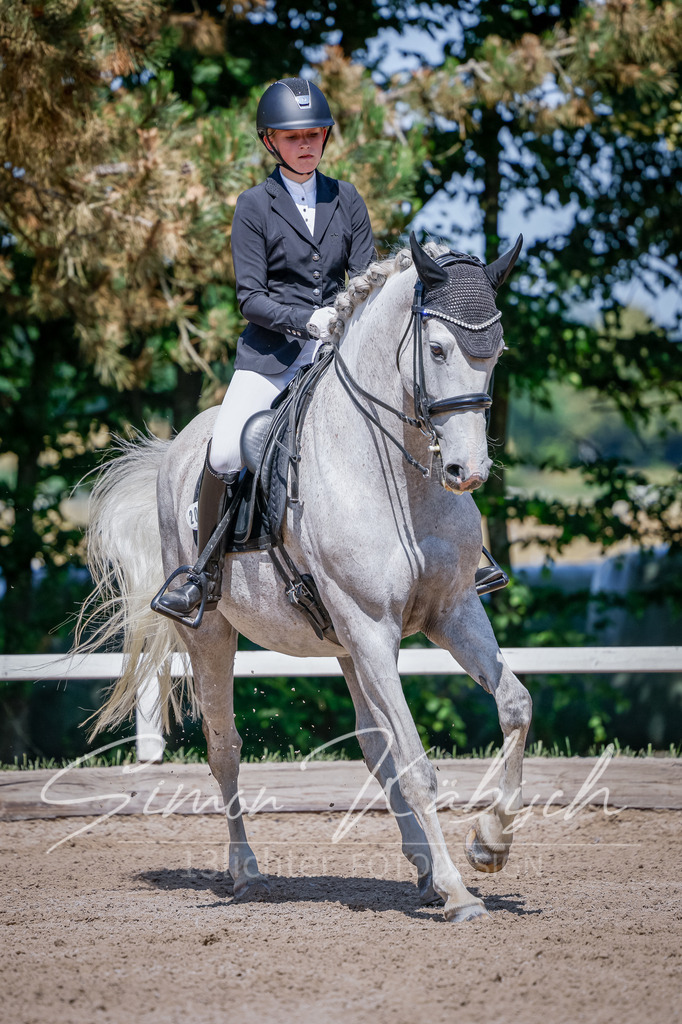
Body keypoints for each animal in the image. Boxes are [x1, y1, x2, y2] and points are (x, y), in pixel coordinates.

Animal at [79, 233, 532, 923]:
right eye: (436, 348)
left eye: (497, 351)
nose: (468, 470)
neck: (397, 472)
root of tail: (175, 447)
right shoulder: (371, 628)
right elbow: (417, 764)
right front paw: (461, 892)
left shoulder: (452, 611)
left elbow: (513, 705)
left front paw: (489, 846)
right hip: (213, 633)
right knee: (225, 747)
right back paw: (246, 873)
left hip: (342, 642)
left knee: (374, 746)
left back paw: (423, 870)